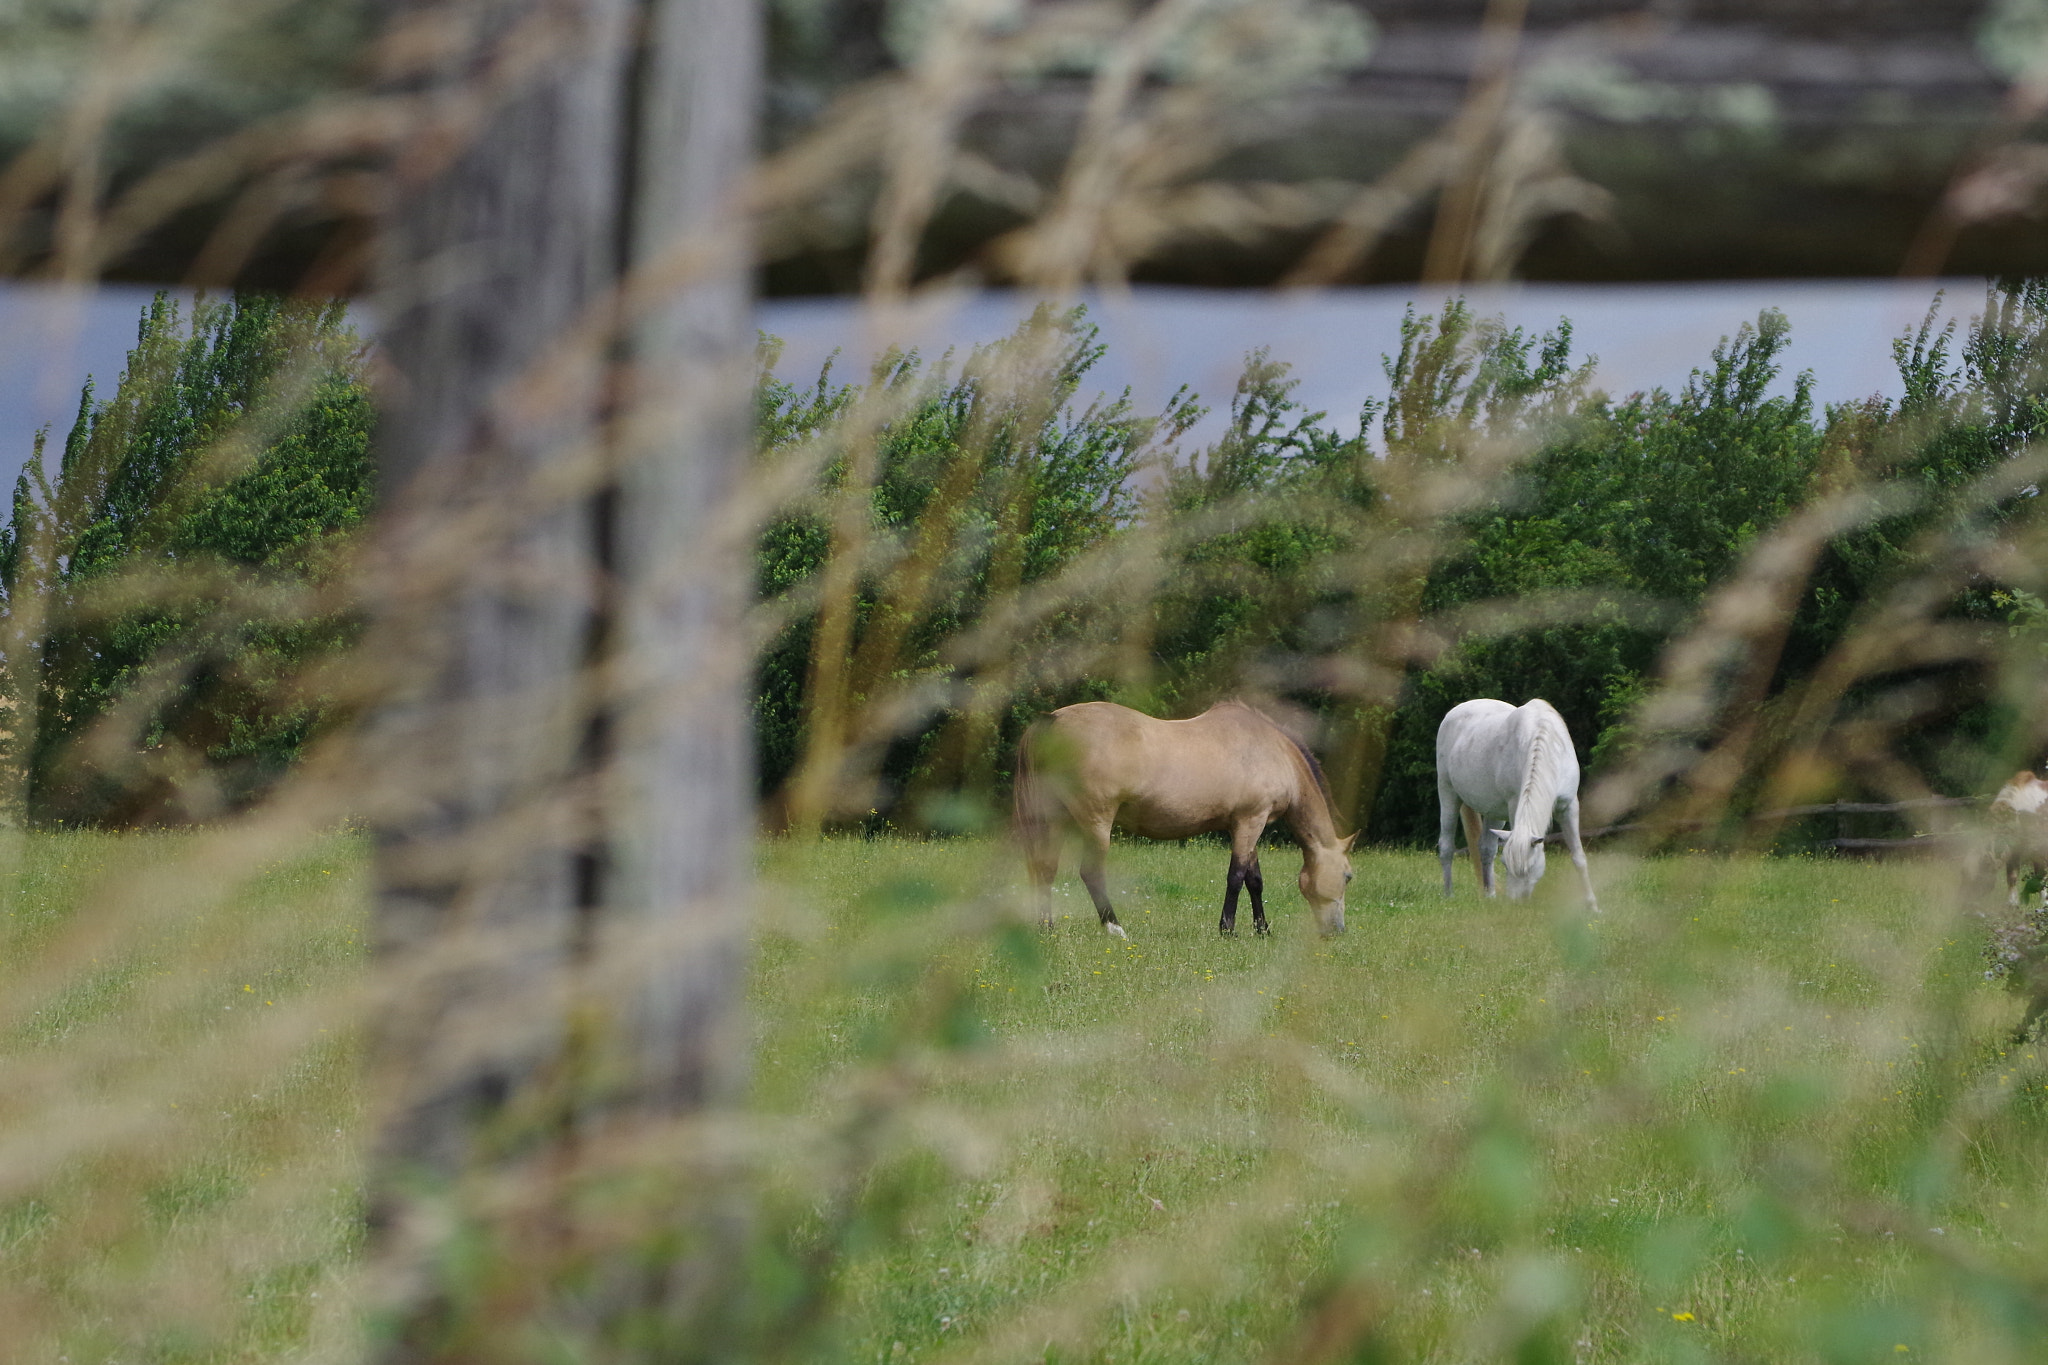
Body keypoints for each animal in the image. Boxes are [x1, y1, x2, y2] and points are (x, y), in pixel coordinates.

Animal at [1011, 703, 1359, 941]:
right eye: (1348, 876)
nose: (1338, 931)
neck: (1271, 751)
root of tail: (1053, 721)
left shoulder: (1244, 825)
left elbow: (1254, 880)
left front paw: (1263, 930)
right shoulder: (1251, 821)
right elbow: (1236, 877)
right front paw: (1227, 930)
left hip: (1054, 819)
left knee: (1045, 869)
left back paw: (1046, 929)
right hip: (1096, 823)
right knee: (1091, 873)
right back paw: (1116, 928)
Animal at [1441, 699, 1597, 912]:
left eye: (1528, 868)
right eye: (1506, 865)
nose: (1515, 904)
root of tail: (1456, 710)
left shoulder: (1569, 806)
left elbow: (1578, 856)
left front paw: (1592, 906)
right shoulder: (1515, 803)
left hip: (1494, 811)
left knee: (1486, 849)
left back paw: (1489, 896)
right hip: (1447, 793)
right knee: (1446, 846)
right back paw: (1448, 895)